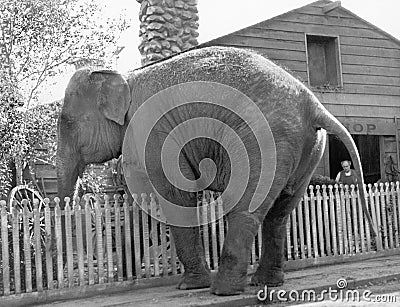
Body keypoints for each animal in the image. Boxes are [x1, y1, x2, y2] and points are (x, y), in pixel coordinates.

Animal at [57, 45, 378, 296]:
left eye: (68, 124)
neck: (125, 77)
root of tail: (313, 104)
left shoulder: (151, 133)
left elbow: (176, 194)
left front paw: (190, 286)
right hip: (309, 148)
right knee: (280, 211)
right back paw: (266, 283)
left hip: (264, 139)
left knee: (245, 206)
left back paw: (223, 290)